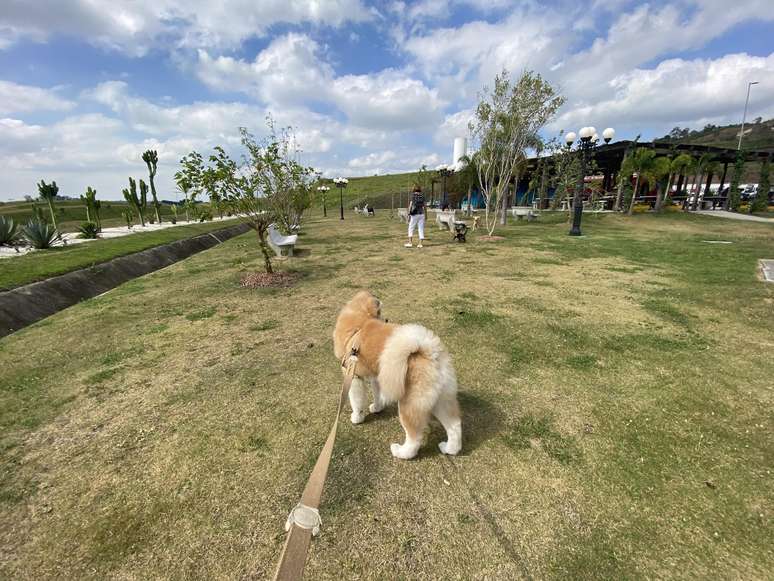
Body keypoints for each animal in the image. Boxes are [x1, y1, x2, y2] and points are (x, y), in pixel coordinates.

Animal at [334, 290, 460, 458]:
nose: (386, 319)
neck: (359, 325)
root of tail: (429, 351)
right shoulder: (378, 378)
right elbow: (377, 394)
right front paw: (377, 407)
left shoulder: (354, 378)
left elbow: (356, 401)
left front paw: (357, 418)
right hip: (442, 399)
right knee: (455, 426)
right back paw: (449, 449)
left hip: (410, 404)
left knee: (414, 438)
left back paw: (401, 452)